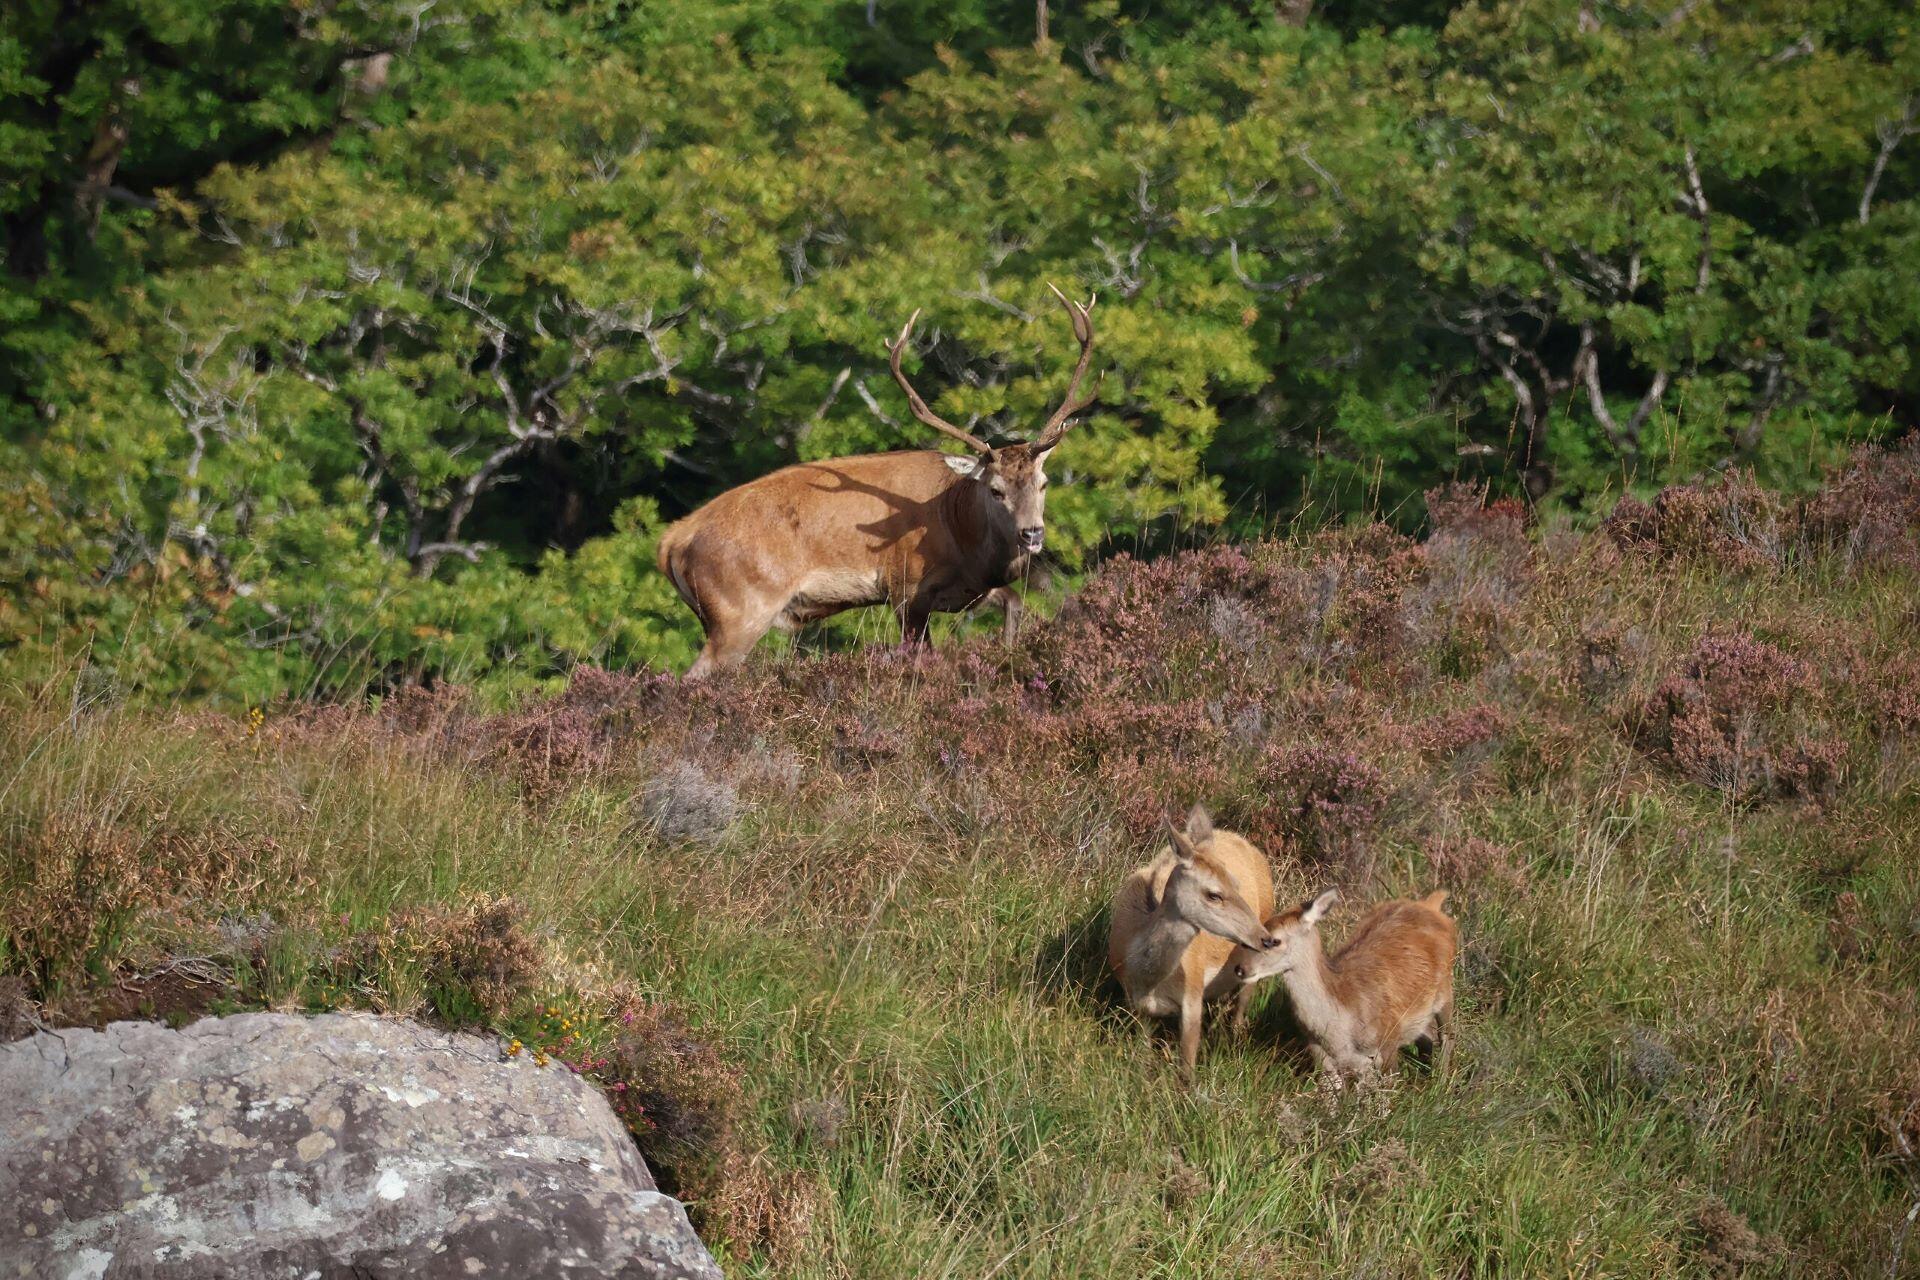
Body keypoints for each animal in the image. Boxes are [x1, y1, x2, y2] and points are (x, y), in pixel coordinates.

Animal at [656, 285, 1099, 677]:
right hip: (739, 610)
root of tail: (672, 540)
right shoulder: (906, 589)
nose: (1032, 533)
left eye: (1043, 483)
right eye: (995, 490)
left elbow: (1014, 605)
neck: (961, 532)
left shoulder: (972, 589)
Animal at [1106, 805, 1277, 1074]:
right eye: (1213, 894)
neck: (1148, 979)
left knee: (1241, 1010)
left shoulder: (1193, 997)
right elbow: (1143, 1055)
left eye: (1236, 884)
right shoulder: (1137, 1006)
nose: (1266, 939)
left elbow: (1186, 1070)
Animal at [1224, 888, 1457, 1089]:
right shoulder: (1322, 1058)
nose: (1240, 969)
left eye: (1274, 940)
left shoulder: (1386, 1046)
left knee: (1447, 1036)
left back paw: (1441, 1086)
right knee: (1428, 1037)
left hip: (1446, 990)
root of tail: (1430, 905)